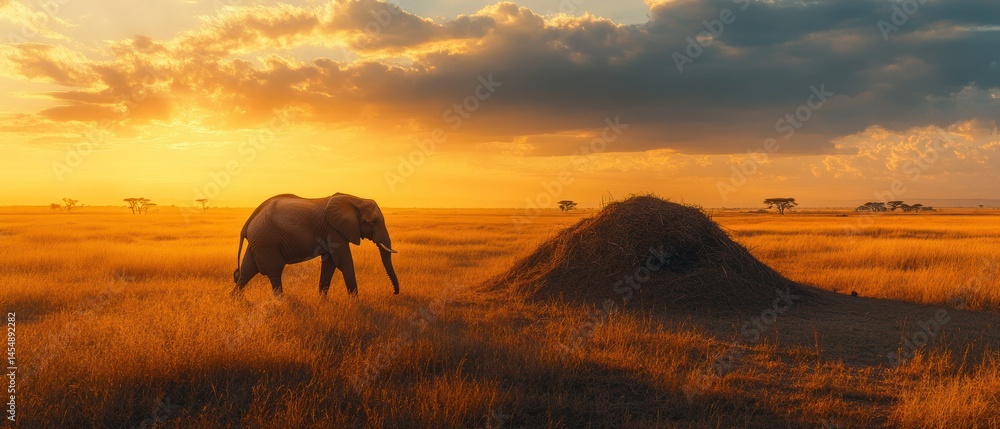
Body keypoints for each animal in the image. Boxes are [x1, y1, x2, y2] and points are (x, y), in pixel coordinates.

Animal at [232, 193, 399, 296]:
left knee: (247, 270)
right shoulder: (334, 231)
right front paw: (355, 303)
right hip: (267, 242)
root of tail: (247, 223)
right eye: (373, 222)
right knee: (274, 270)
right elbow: (343, 261)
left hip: (259, 243)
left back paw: (235, 299)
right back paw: (282, 302)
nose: (394, 293)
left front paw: (323, 301)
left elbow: (330, 263)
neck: (354, 199)